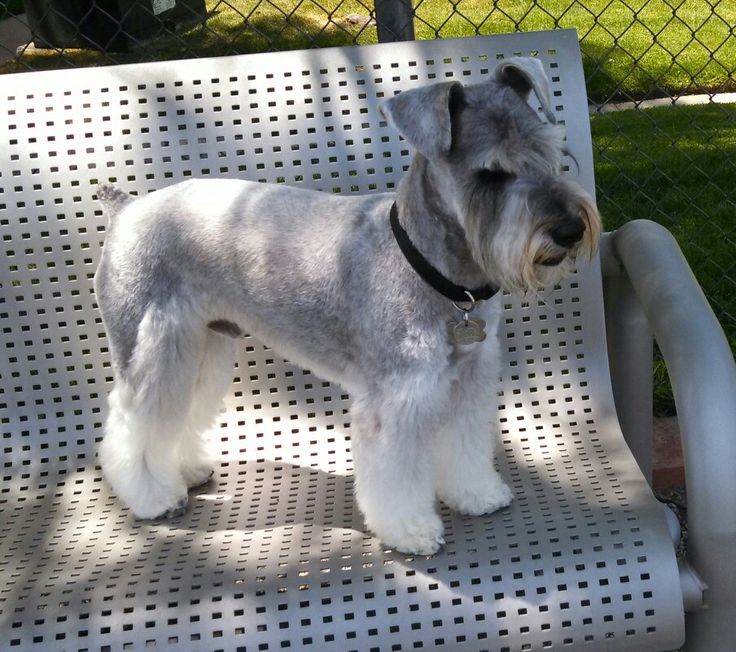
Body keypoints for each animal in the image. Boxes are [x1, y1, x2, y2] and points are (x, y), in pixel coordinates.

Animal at [93, 58, 600, 552]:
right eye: (490, 174)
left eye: (550, 151)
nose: (570, 229)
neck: (434, 271)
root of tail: (127, 208)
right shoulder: (398, 395)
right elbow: (396, 474)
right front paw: (410, 529)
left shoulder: (468, 380)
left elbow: (466, 446)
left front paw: (477, 493)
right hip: (153, 349)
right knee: (132, 423)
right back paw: (153, 495)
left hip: (202, 346)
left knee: (179, 412)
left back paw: (187, 469)